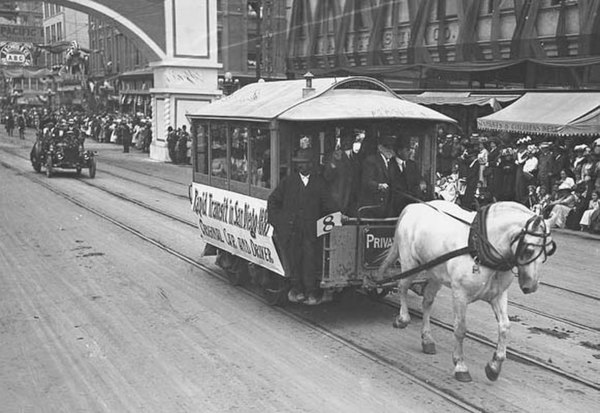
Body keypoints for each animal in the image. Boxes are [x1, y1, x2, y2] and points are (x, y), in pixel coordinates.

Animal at [378, 200, 556, 380]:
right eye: (529, 250)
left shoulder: (498, 295)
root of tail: (414, 206)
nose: (531, 286)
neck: (482, 247)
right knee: (402, 286)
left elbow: (505, 326)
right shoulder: (460, 294)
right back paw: (403, 318)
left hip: (435, 273)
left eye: (548, 252)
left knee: (427, 301)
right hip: (410, 263)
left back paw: (427, 339)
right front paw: (460, 365)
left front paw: (495, 365)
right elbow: (460, 329)